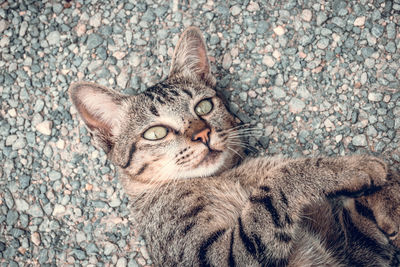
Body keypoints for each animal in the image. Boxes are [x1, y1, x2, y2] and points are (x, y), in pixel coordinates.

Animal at [70, 26, 400, 266]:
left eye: (203, 106)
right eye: (156, 133)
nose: (202, 134)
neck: (223, 178)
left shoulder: (356, 254)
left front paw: (389, 195)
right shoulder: (220, 255)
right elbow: (280, 182)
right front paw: (353, 168)